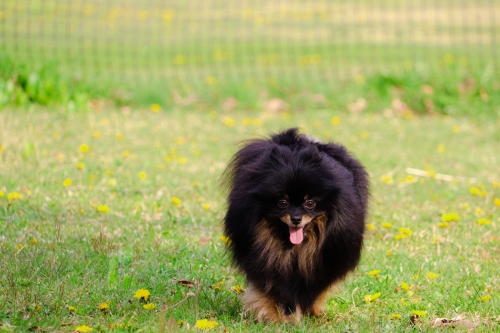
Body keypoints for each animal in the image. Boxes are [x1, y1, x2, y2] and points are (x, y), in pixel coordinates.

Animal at [222, 127, 368, 322]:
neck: (297, 249)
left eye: (310, 203)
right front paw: (284, 318)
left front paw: (310, 310)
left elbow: (317, 288)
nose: (296, 218)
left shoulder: (328, 259)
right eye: (282, 203)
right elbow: (277, 291)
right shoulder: (268, 260)